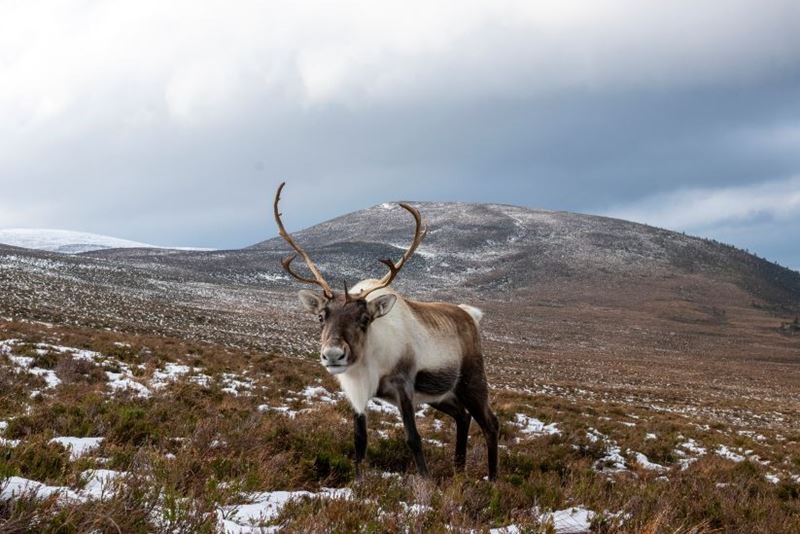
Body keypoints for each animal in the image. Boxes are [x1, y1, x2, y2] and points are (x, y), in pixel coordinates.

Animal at [273, 182, 499, 480]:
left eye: (364, 318)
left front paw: (426, 482)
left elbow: (413, 439)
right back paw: (458, 472)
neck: (370, 359)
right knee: (462, 416)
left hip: (472, 381)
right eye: (321, 316)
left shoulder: (404, 387)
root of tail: (470, 315)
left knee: (490, 423)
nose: (333, 355)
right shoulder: (356, 392)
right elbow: (360, 439)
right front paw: (358, 481)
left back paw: (492, 479)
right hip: (440, 395)